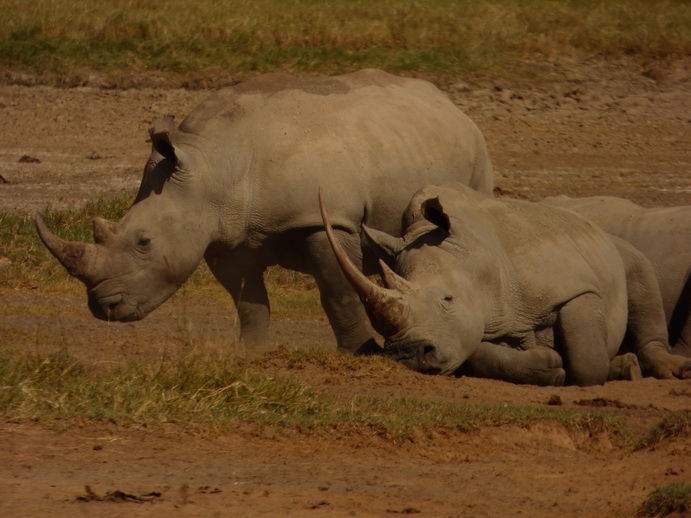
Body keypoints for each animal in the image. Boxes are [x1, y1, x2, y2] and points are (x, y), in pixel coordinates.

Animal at [34, 69, 493, 354]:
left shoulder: (323, 218)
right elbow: (247, 297)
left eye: (144, 242)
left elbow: (337, 290)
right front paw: (250, 351)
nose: (103, 308)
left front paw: (359, 352)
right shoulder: (224, 232)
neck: (212, 165)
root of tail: (449, 103)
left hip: (477, 152)